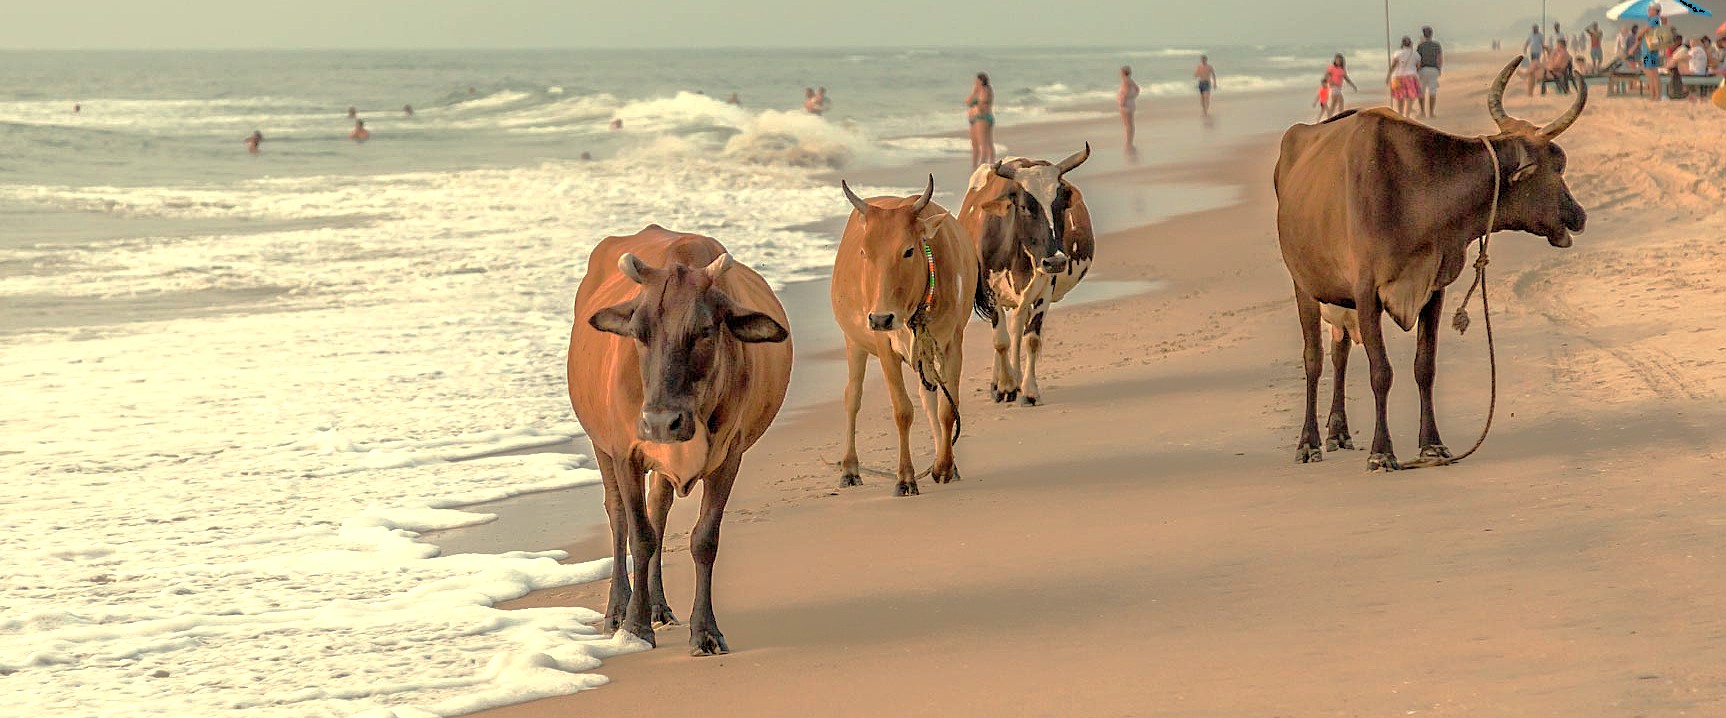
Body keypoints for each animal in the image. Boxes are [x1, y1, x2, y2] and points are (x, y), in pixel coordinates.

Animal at [567, 225, 792, 656]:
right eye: (638, 333)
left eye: (704, 330)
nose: (660, 422)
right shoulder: (625, 453)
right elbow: (639, 536)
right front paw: (635, 626)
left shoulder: (729, 456)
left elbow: (703, 539)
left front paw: (705, 630)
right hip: (601, 446)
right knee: (618, 516)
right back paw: (618, 608)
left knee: (659, 510)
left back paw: (657, 604)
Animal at [831, 175, 989, 496]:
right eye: (864, 252)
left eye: (908, 250)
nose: (881, 318)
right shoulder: (884, 346)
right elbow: (902, 411)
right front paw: (905, 478)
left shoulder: (953, 343)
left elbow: (947, 409)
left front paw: (944, 467)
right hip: (854, 343)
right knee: (852, 397)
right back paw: (850, 468)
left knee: (929, 399)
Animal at [958, 144, 1095, 406]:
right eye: (1024, 207)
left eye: (1060, 205)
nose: (1056, 261)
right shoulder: (991, 291)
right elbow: (1000, 340)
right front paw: (1004, 387)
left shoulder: (1044, 288)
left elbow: (1031, 338)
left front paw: (1029, 390)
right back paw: (1001, 382)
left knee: (1018, 327)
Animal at [1274, 56, 1585, 471]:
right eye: (1559, 165)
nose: (1579, 214)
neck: (1417, 189)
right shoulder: (1366, 293)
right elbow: (1381, 372)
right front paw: (1382, 451)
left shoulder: (1432, 288)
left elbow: (1425, 367)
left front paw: (1432, 445)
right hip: (1305, 286)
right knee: (1315, 359)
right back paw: (1309, 442)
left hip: (1339, 299)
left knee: (1340, 353)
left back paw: (1338, 432)